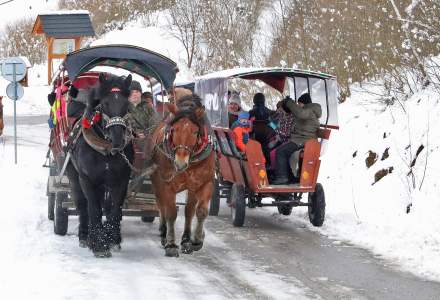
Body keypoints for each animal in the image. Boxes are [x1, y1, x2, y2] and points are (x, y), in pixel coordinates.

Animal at [65, 73, 134, 258]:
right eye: (104, 104)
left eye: (127, 105)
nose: (118, 140)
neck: (105, 150)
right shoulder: (87, 180)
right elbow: (93, 208)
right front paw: (99, 246)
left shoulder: (121, 181)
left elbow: (115, 209)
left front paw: (112, 239)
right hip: (74, 178)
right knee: (83, 205)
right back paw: (84, 236)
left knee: (106, 206)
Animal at [150, 94, 215, 258]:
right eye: (174, 129)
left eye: (195, 132)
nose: (179, 163)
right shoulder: (166, 184)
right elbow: (171, 213)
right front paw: (171, 244)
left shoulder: (205, 182)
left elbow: (200, 211)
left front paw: (195, 240)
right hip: (157, 183)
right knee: (161, 206)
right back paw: (163, 233)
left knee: (189, 211)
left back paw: (186, 239)